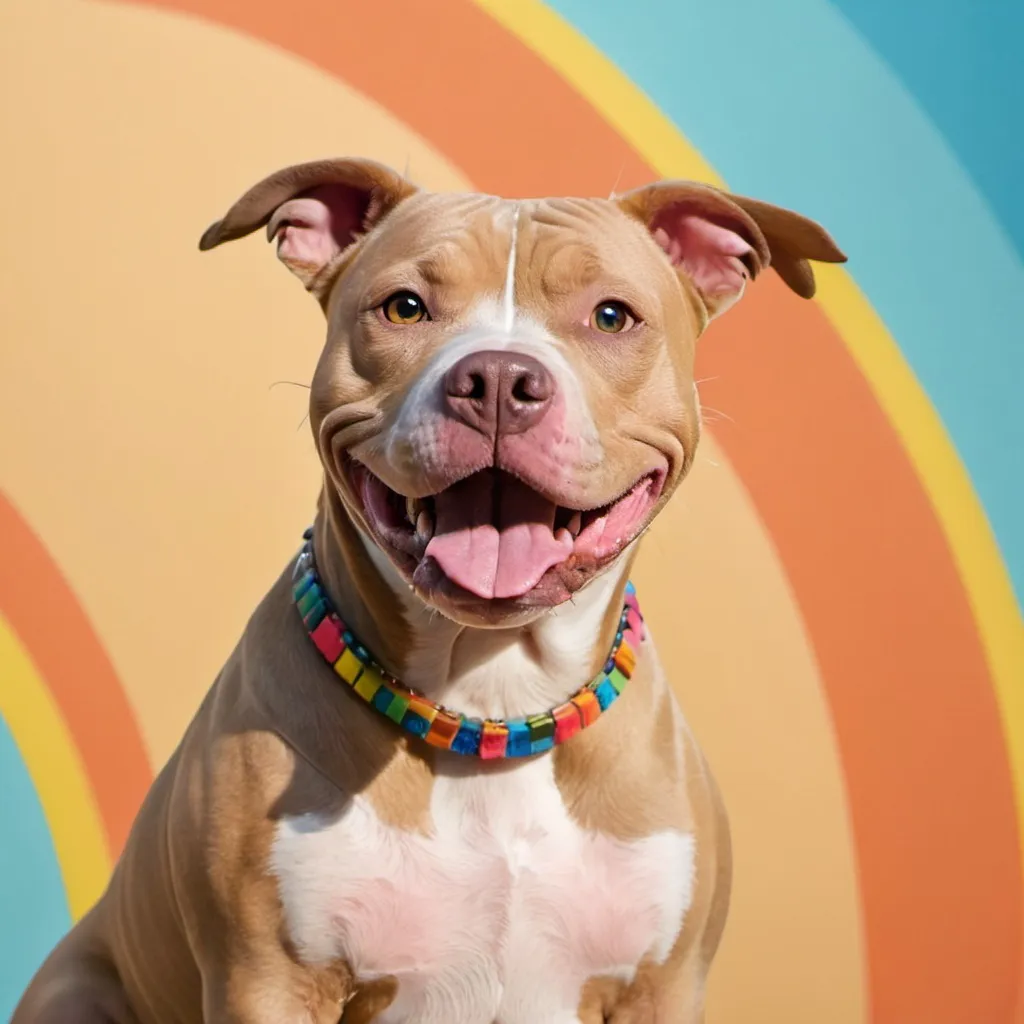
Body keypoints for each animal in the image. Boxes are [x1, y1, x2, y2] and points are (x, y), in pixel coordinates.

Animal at [12, 159, 843, 1024]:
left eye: (612, 316)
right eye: (405, 306)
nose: (500, 379)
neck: (492, 701)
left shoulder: (662, 987)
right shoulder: (266, 981)